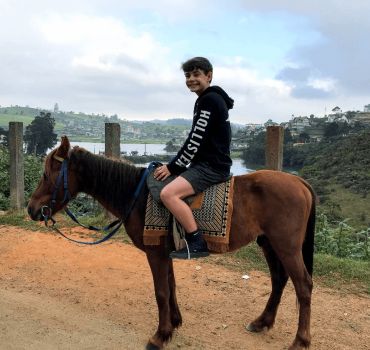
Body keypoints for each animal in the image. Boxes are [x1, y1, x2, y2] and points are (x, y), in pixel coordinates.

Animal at [26, 136, 316, 350]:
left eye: (46, 175)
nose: (31, 209)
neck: (137, 195)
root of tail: (299, 181)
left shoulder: (155, 253)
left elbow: (161, 292)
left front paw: (160, 335)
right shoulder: (166, 253)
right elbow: (171, 286)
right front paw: (174, 323)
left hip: (286, 246)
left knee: (303, 286)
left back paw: (301, 340)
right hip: (269, 243)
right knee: (279, 280)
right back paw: (262, 322)